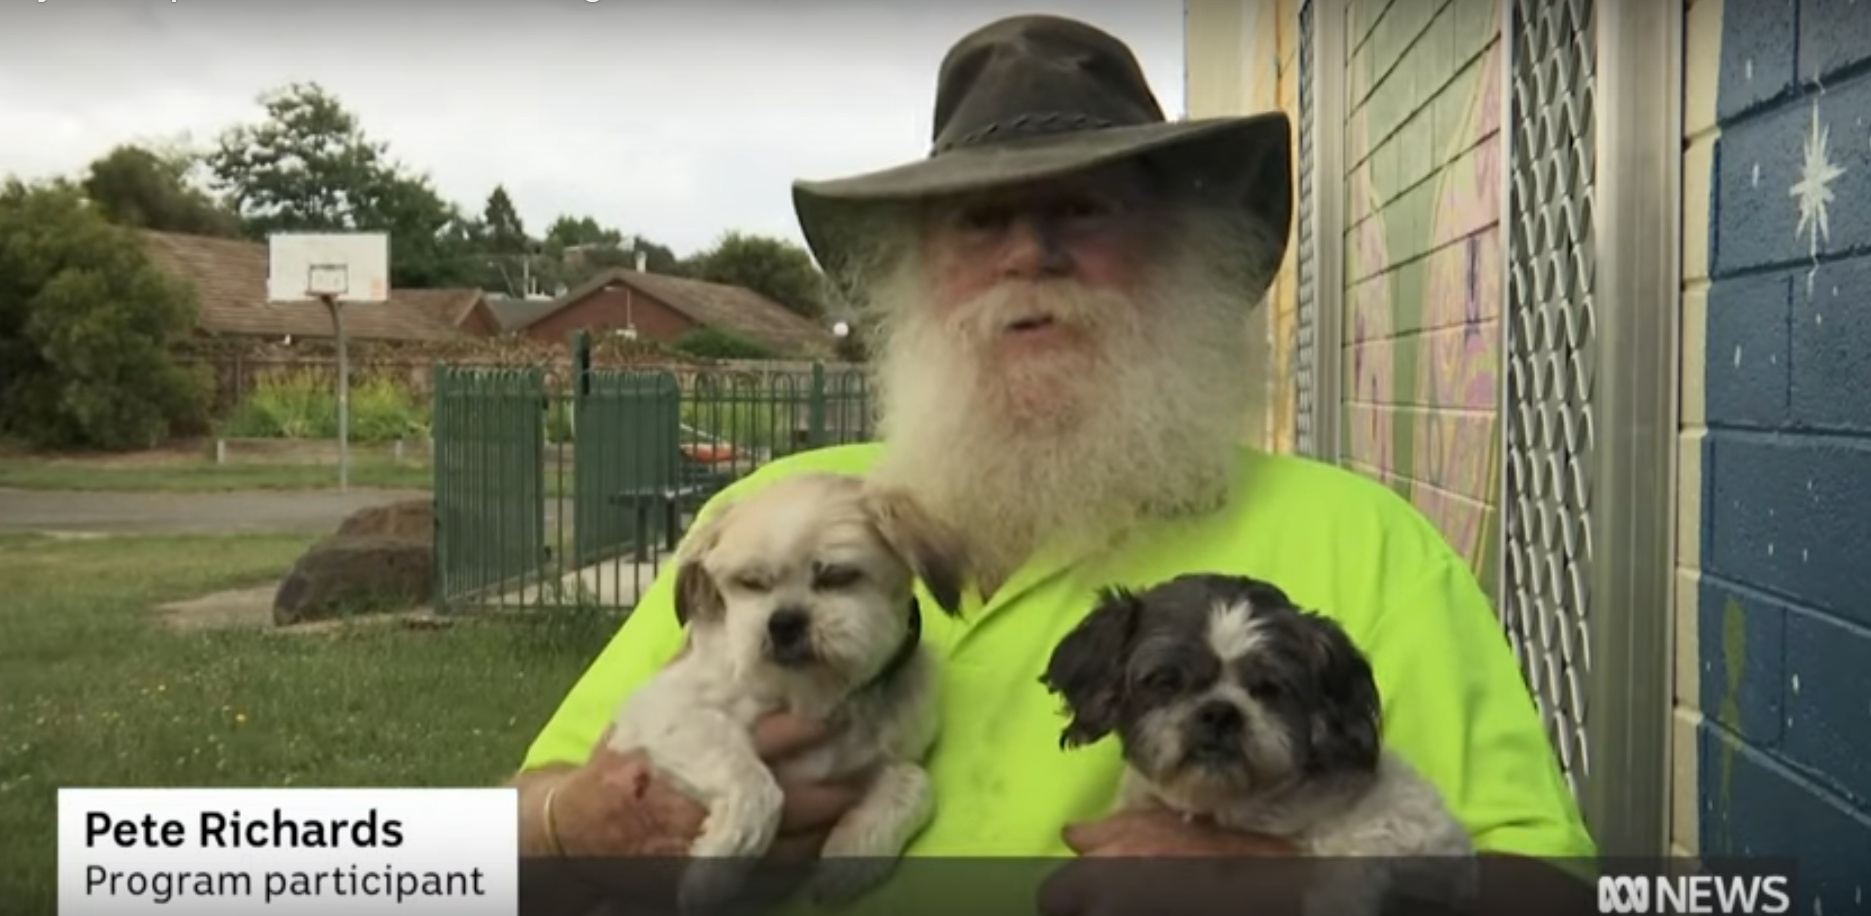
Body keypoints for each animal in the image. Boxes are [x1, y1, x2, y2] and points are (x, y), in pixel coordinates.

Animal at [609, 476, 972, 912]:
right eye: (751, 583)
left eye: (836, 576)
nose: (783, 622)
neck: (812, 693)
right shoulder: (664, 710)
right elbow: (757, 785)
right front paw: (715, 869)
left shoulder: (889, 755)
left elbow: (914, 781)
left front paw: (852, 855)